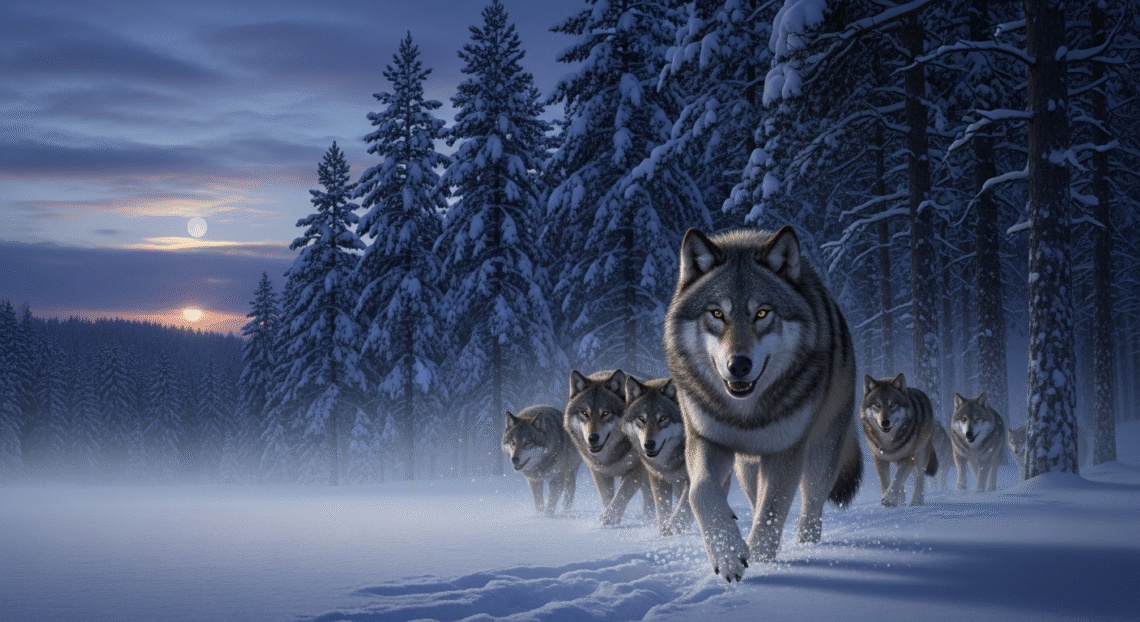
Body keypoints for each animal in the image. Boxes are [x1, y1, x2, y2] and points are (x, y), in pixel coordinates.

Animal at [564, 369, 651, 525]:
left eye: (605, 413)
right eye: (584, 413)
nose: (592, 438)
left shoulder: (637, 471)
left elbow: (621, 495)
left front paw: (609, 518)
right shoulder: (599, 472)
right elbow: (607, 497)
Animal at [623, 375, 692, 535]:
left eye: (663, 418)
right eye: (641, 419)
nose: (649, 444)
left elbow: (682, 509)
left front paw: (674, 527)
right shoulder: (658, 478)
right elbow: (662, 510)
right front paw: (665, 534)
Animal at [664, 226, 863, 582]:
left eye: (762, 313)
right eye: (717, 313)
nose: (739, 365)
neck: (745, 414)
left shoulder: (786, 452)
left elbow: (773, 510)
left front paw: (760, 562)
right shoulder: (707, 441)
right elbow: (700, 492)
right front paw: (729, 554)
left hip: (820, 455)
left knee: (811, 505)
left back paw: (809, 549)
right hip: (747, 466)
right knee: (754, 499)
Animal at [860, 374, 937, 507]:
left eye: (892, 405)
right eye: (877, 404)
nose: (885, 422)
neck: (888, 442)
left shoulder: (908, 458)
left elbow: (897, 479)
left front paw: (889, 499)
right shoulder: (879, 458)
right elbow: (887, 482)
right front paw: (891, 502)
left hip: (920, 454)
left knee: (919, 478)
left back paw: (916, 502)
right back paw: (901, 503)